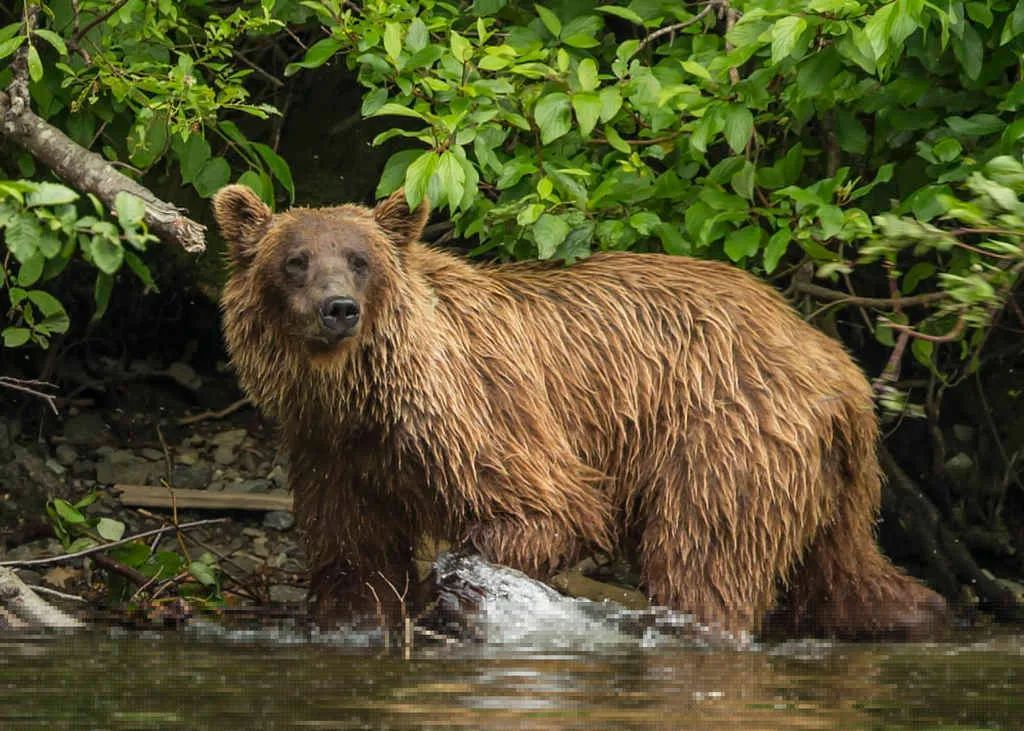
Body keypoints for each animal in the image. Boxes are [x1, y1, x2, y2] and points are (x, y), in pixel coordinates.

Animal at [214, 185, 942, 634]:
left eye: (360, 258)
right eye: (295, 260)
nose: (338, 308)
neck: (361, 397)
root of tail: (839, 365)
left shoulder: (473, 412)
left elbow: (548, 507)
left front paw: (453, 584)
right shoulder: (332, 451)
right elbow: (353, 554)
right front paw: (361, 617)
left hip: (729, 438)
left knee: (704, 557)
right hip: (829, 481)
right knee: (849, 573)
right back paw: (921, 612)